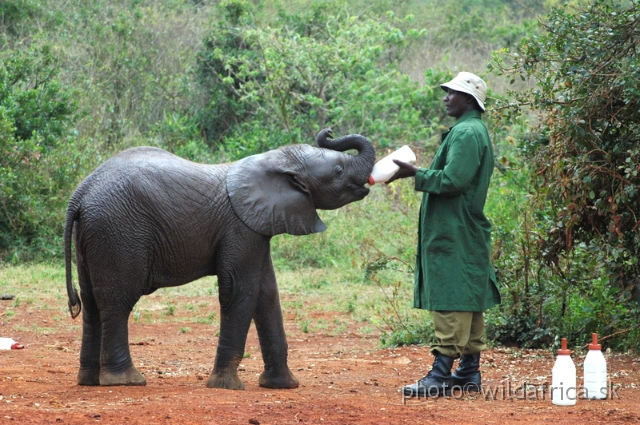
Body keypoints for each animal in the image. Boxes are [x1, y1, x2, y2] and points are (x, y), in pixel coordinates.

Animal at [65, 128, 376, 388]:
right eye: (338, 169)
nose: (329, 131)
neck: (274, 160)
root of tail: (80, 192)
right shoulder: (240, 227)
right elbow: (240, 291)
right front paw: (226, 386)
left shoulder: (257, 227)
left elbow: (267, 293)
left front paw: (283, 386)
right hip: (118, 233)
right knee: (118, 301)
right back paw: (126, 381)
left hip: (93, 234)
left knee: (91, 302)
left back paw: (89, 380)